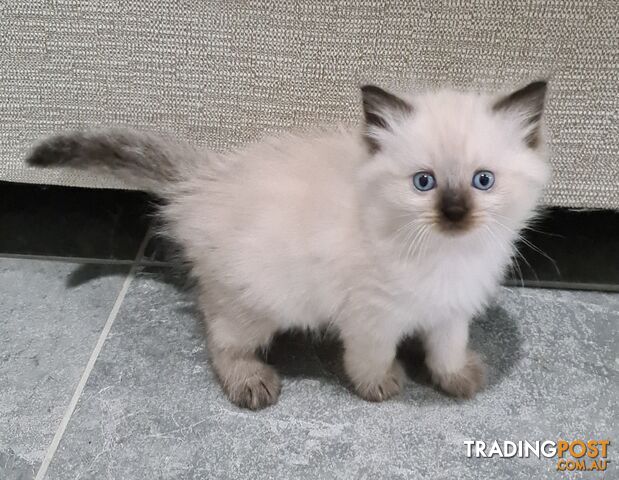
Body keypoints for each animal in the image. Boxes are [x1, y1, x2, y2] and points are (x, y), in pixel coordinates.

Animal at [26, 81, 552, 408]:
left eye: (483, 181)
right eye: (424, 183)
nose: (455, 213)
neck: (447, 256)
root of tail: (204, 180)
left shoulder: (451, 310)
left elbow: (447, 350)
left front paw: (458, 379)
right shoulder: (371, 318)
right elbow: (371, 358)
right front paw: (381, 386)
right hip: (254, 305)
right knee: (220, 339)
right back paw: (251, 384)